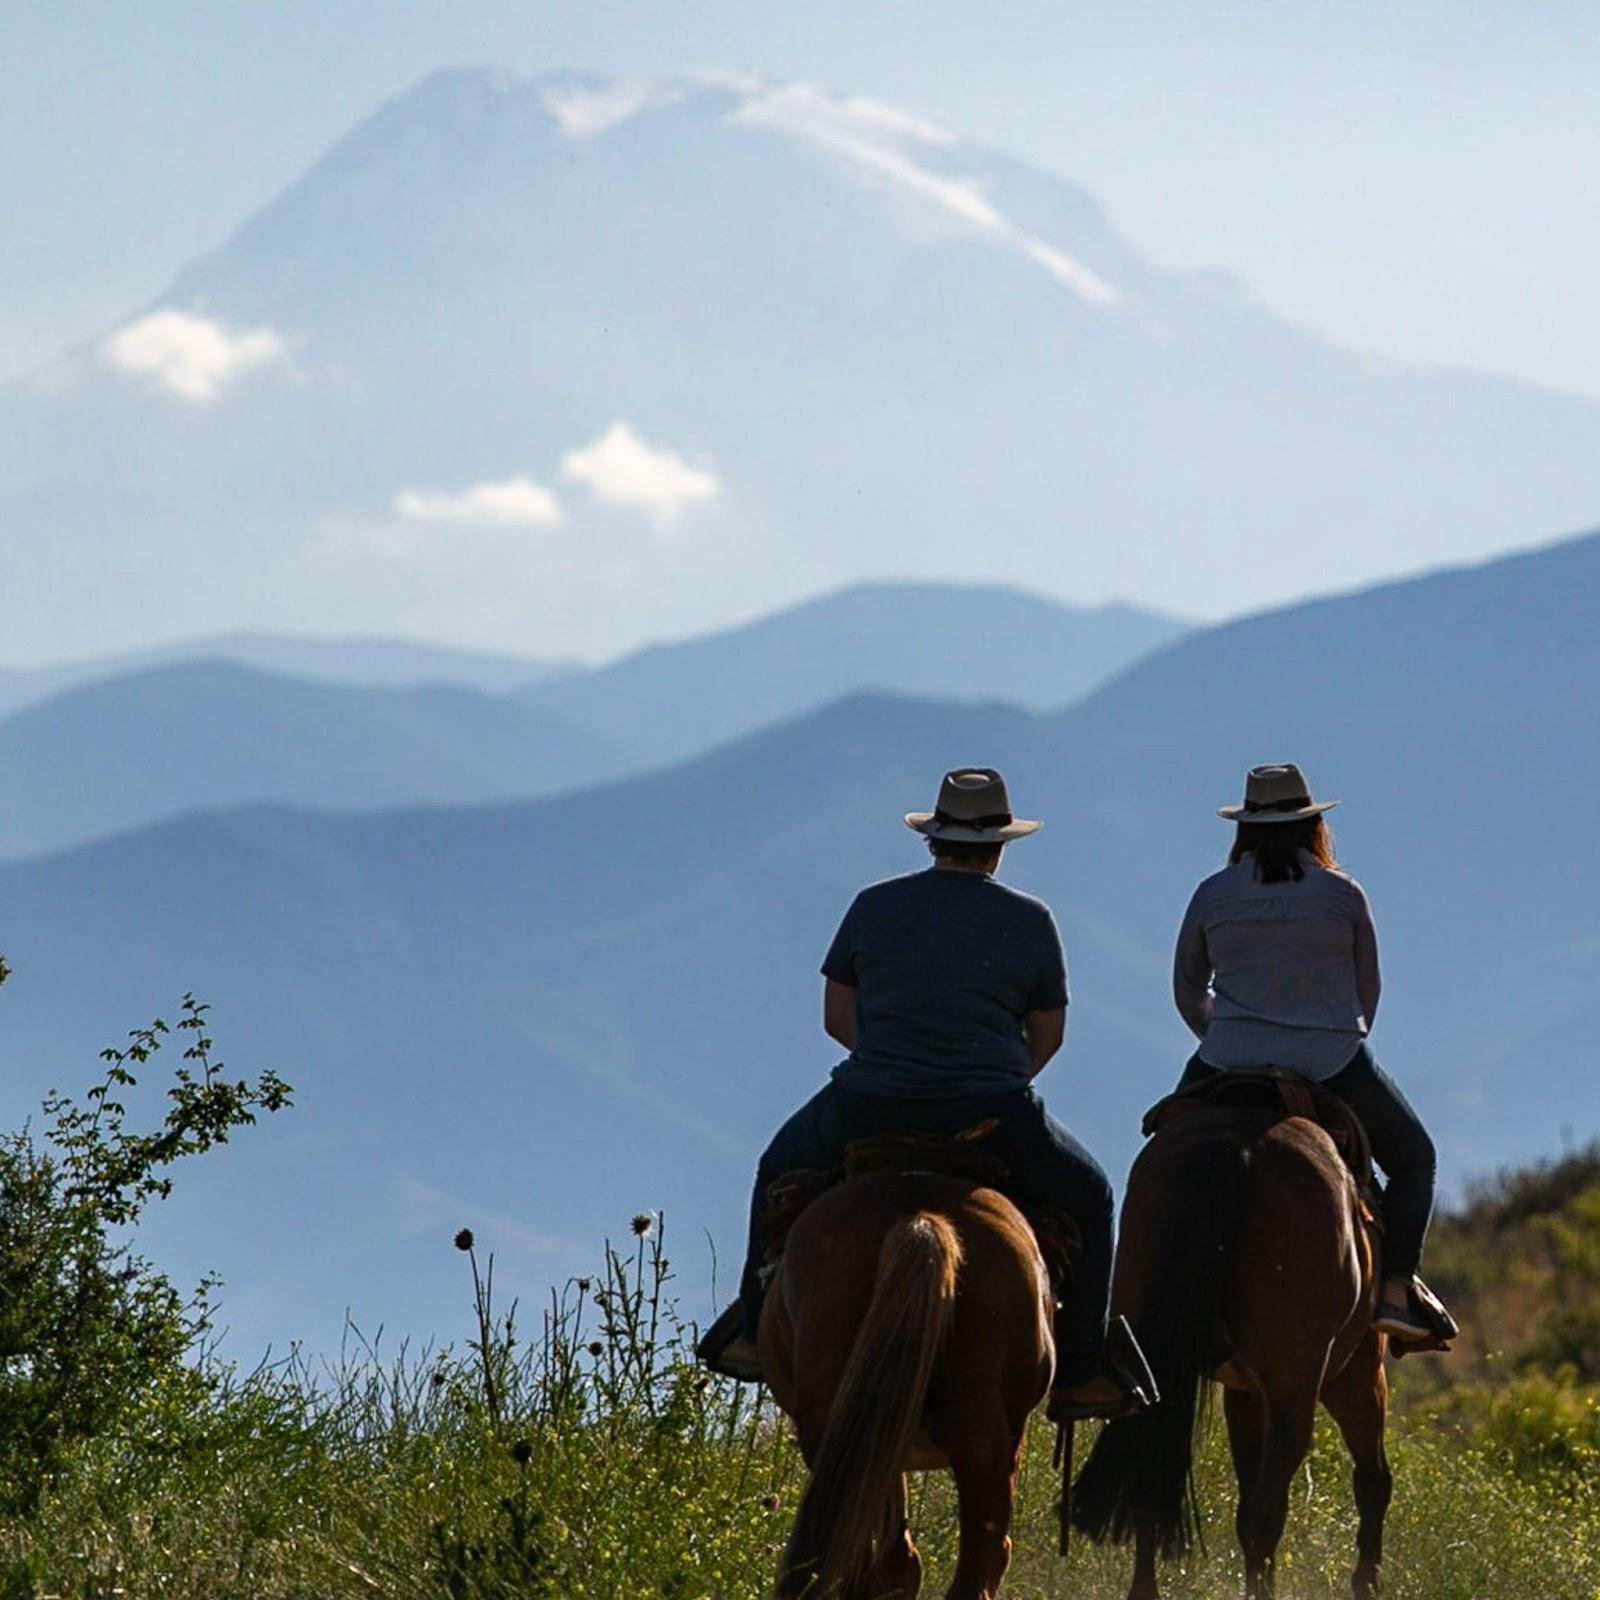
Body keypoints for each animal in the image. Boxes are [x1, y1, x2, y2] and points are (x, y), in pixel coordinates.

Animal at [1068, 1107, 1395, 1600]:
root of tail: (1233, 1144)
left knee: (1152, 1470)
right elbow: (1373, 1481)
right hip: (1299, 1381)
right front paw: (1366, 1580)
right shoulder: (1354, 1373)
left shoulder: (1245, 1391)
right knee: (1272, 1505)